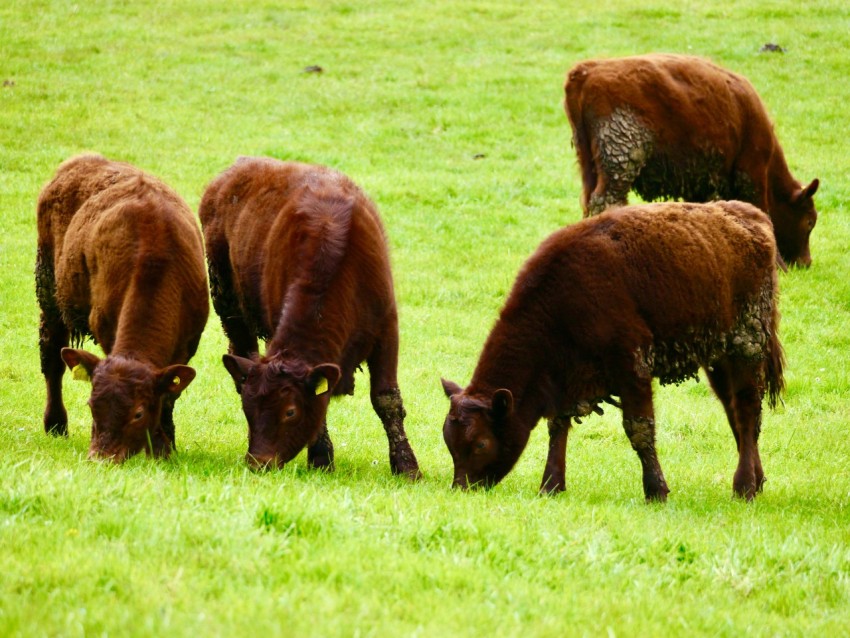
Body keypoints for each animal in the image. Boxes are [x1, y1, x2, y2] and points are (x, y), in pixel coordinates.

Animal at [36, 155, 209, 464]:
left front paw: (164, 446)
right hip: (49, 288)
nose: (101, 458)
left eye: (138, 413)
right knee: (52, 357)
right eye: (91, 405)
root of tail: (81, 160)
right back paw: (55, 424)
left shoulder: (188, 344)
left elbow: (169, 397)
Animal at [200, 156, 424, 480]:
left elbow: (387, 399)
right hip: (228, 305)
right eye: (247, 409)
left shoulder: (386, 329)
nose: (258, 462)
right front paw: (321, 458)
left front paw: (407, 466)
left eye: (290, 411)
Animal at [444, 202, 780, 502]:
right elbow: (558, 428)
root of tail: (756, 219)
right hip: (718, 358)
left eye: (481, 444)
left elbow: (639, 429)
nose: (462, 487)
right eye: (450, 442)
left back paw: (744, 488)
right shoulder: (566, 379)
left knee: (747, 409)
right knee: (734, 410)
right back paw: (758, 480)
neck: (559, 303)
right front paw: (550, 486)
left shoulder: (632, 368)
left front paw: (655, 491)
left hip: (746, 346)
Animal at [564, 52, 816, 268]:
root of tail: (586, 72)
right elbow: (761, 210)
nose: (806, 262)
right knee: (606, 200)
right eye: (809, 221)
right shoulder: (752, 170)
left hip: (589, 163)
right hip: (621, 159)